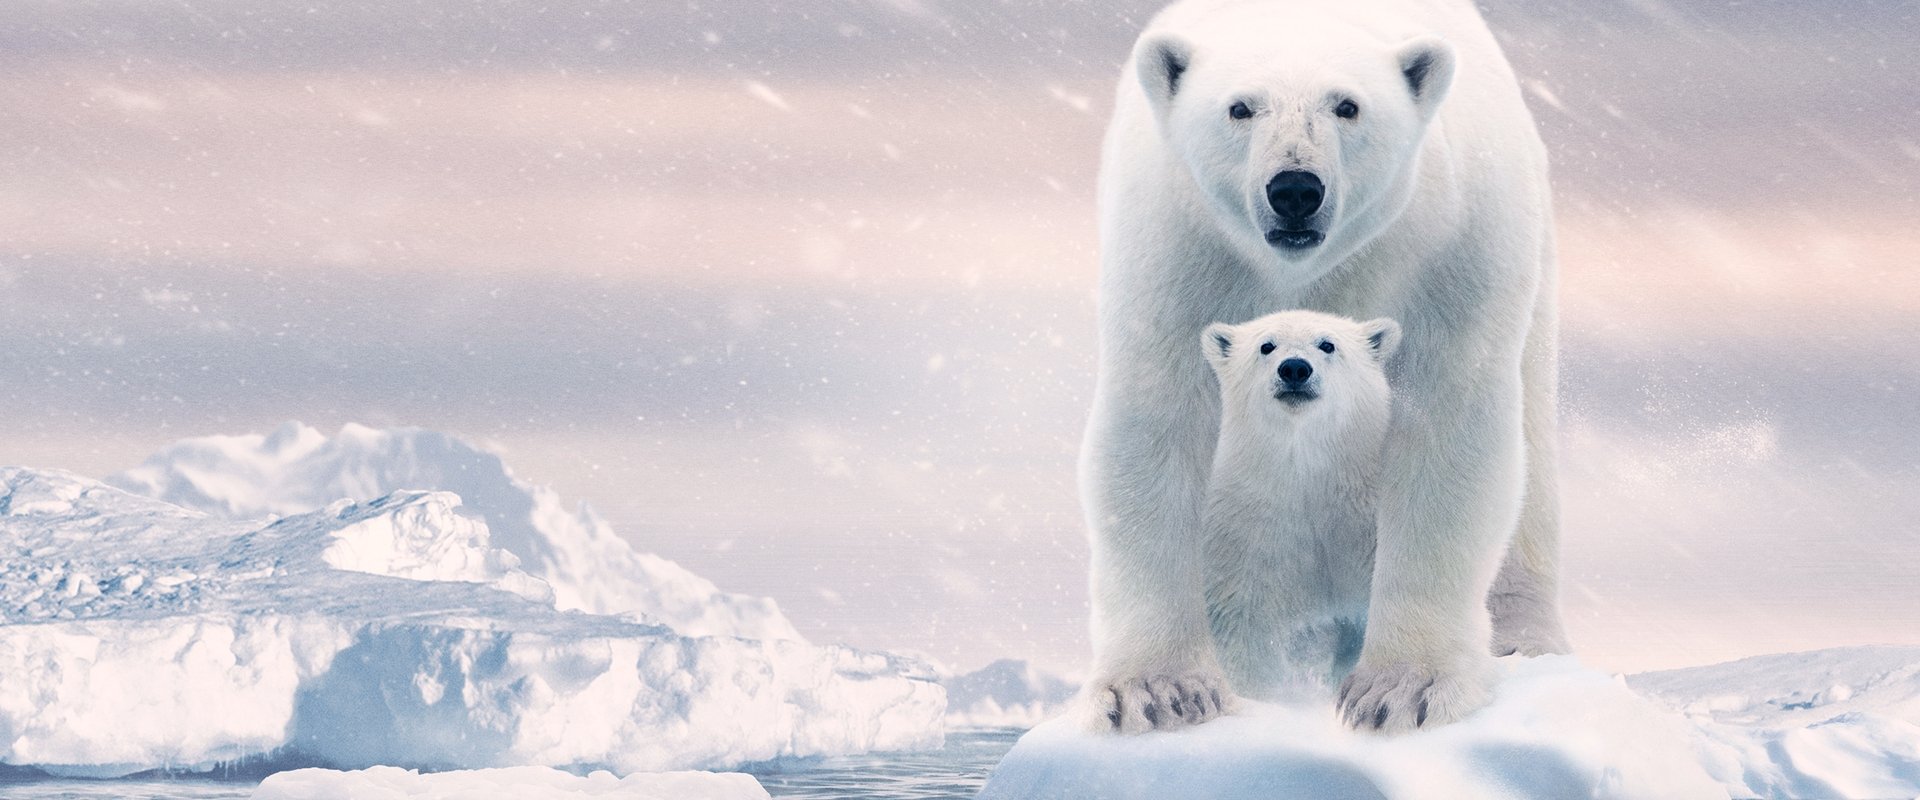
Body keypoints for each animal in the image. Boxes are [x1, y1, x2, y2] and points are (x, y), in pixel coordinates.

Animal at [1199, 310, 1401, 704]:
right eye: (1266, 345)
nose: (1294, 368)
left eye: (1327, 344)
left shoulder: (1366, 525)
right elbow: (1245, 626)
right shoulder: (1247, 532)